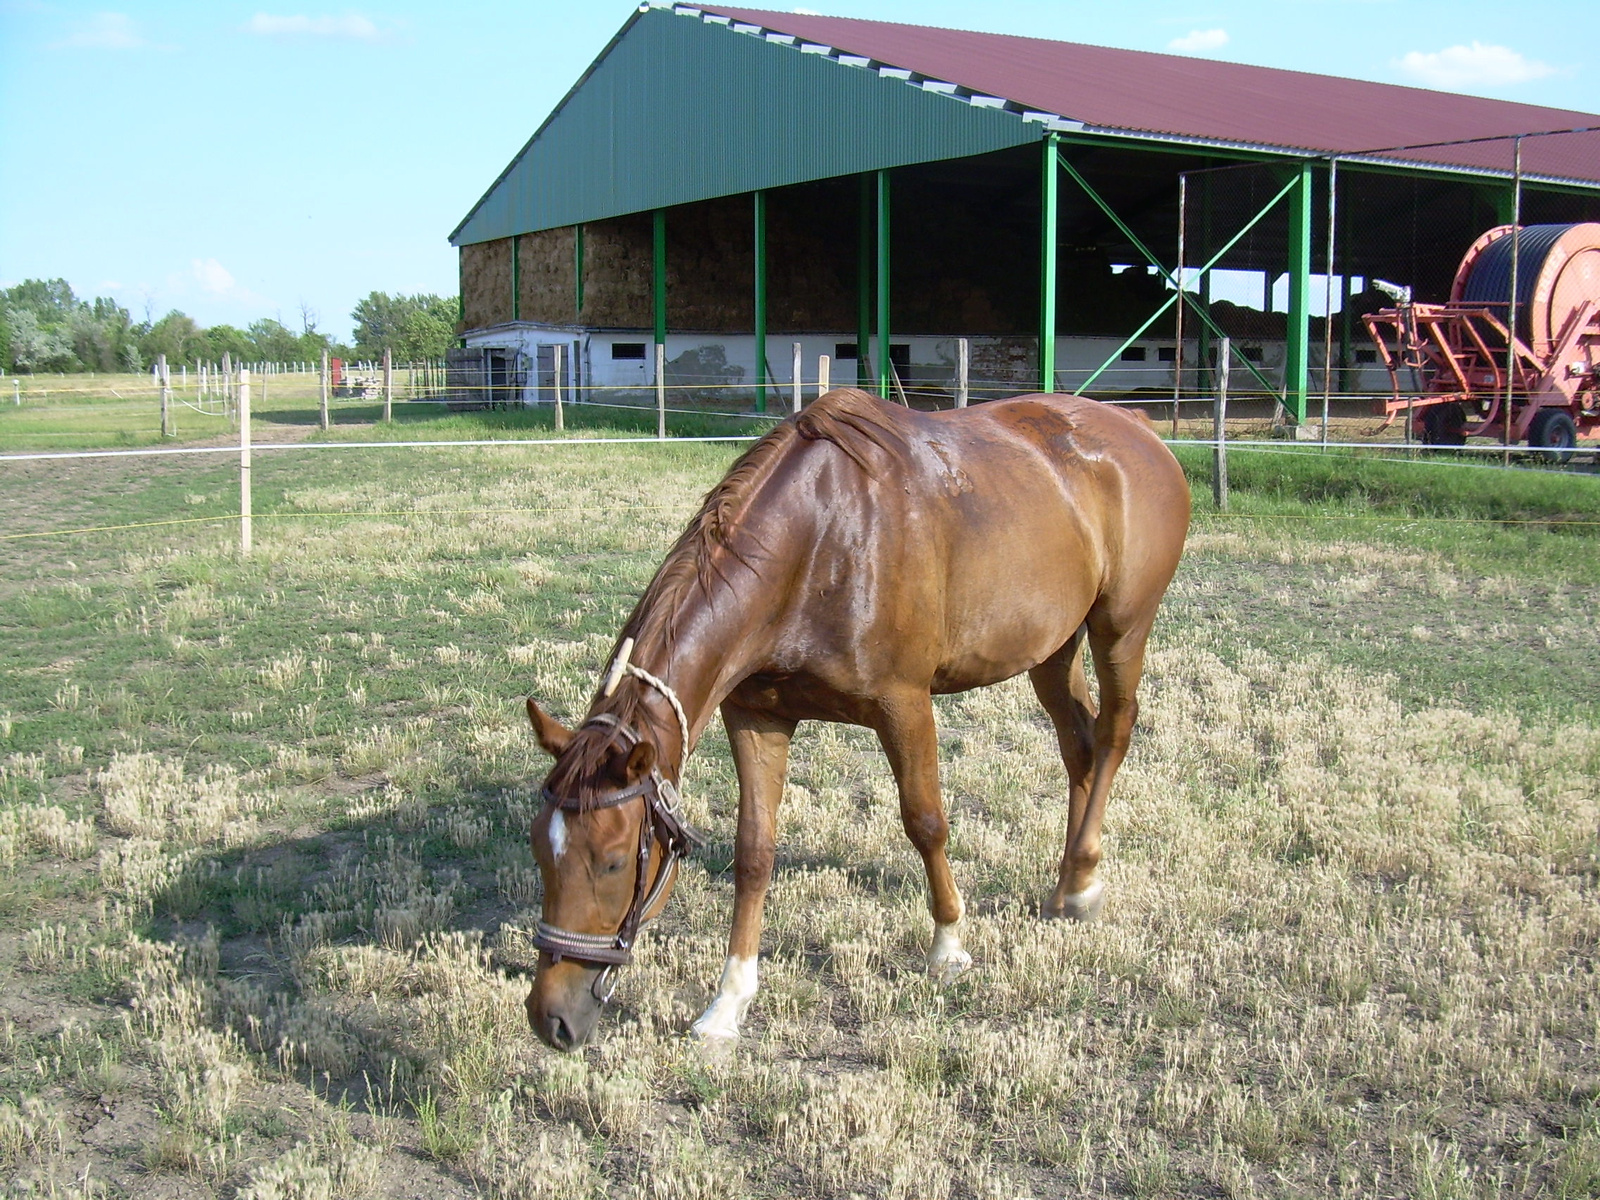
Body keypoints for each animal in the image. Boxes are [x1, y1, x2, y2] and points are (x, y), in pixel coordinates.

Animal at [524, 390, 1190, 1049]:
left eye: (613, 861)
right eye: (538, 849)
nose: (550, 1017)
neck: (819, 541)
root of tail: (1134, 424)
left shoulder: (905, 705)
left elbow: (926, 822)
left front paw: (949, 947)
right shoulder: (756, 718)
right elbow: (754, 851)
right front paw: (728, 1004)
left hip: (1121, 629)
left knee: (1113, 732)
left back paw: (1081, 883)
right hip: (1051, 647)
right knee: (1078, 743)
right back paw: (1069, 887)